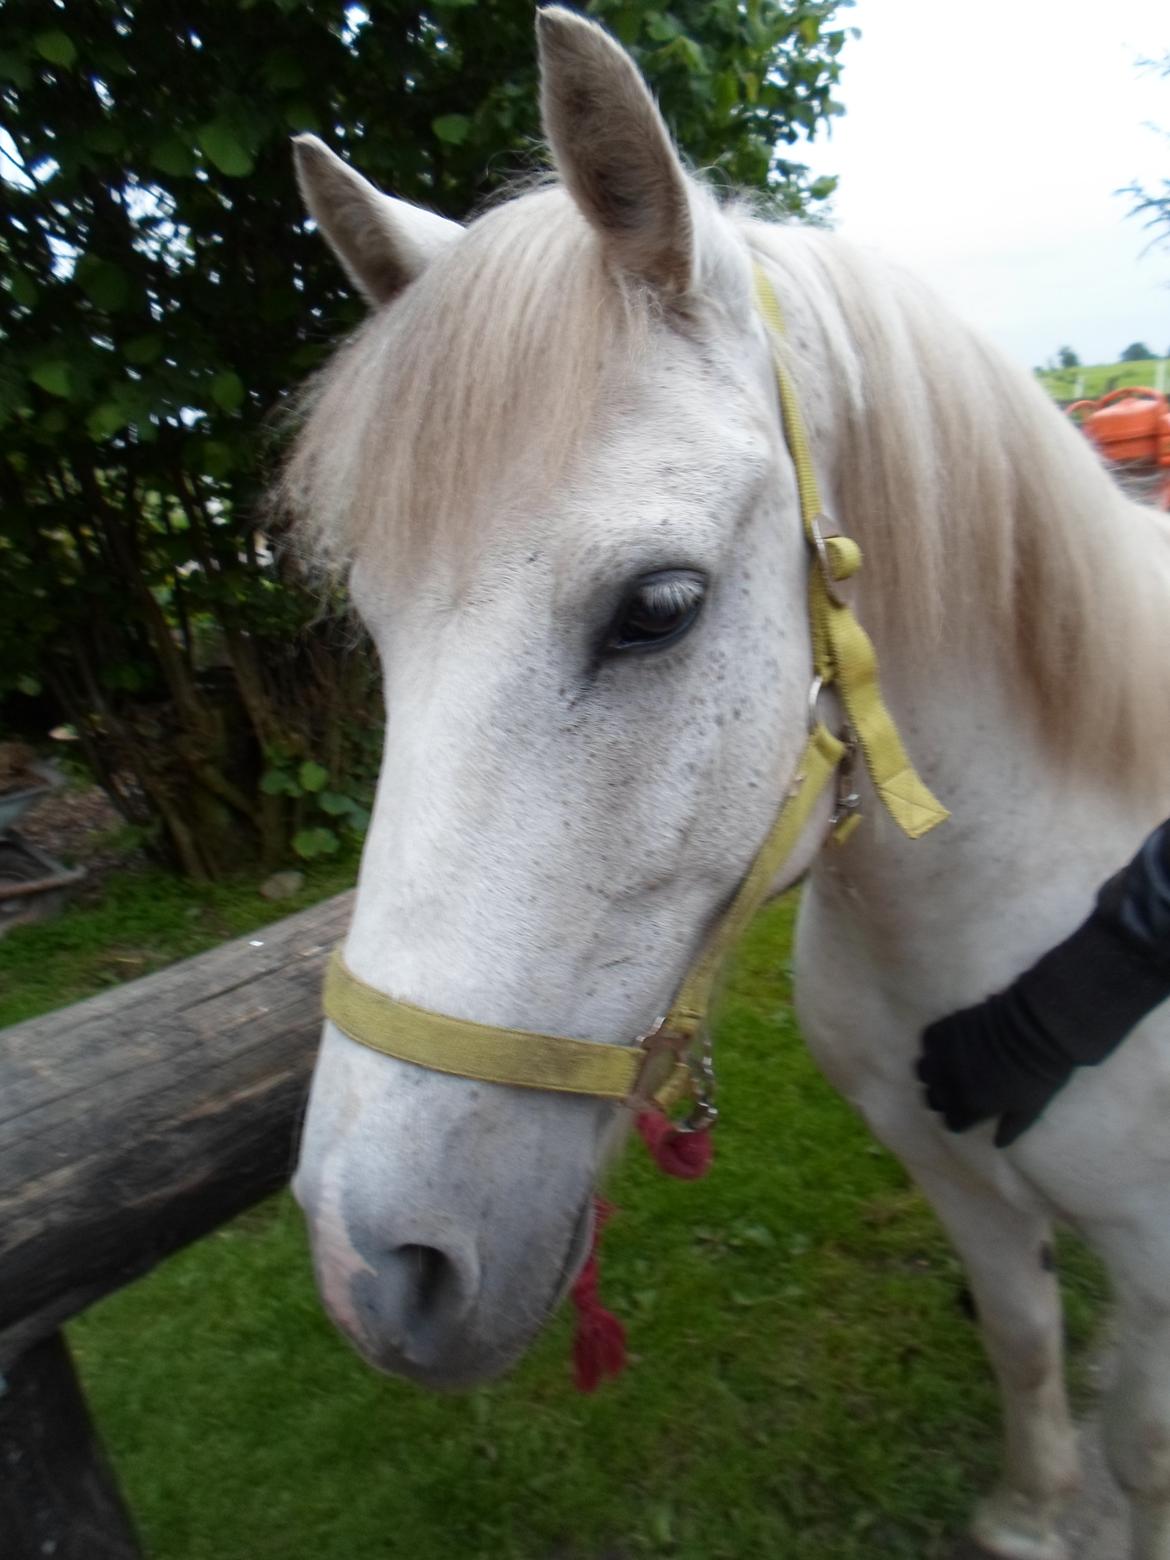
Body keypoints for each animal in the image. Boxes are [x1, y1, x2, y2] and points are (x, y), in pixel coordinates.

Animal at [283, 10, 1170, 1557]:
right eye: (376, 629)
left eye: (657, 607)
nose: (369, 1267)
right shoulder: (955, 1179)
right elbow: (1023, 1339)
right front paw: (1031, 1512)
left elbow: (1146, 1448)